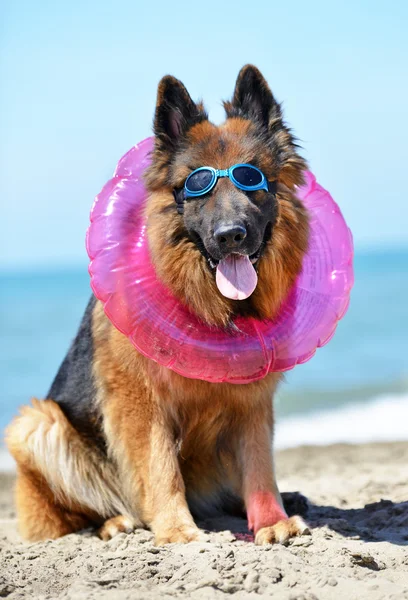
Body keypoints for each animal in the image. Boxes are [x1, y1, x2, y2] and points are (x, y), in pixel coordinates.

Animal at [6, 64, 310, 544]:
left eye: (251, 179)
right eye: (197, 186)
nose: (230, 236)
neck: (211, 305)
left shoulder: (251, 404)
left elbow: (260, 464)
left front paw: (271, 521)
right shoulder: (140, 401)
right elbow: (160, 465)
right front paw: (176, 530)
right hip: (37, 424)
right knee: (77, 513)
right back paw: (115, 522)